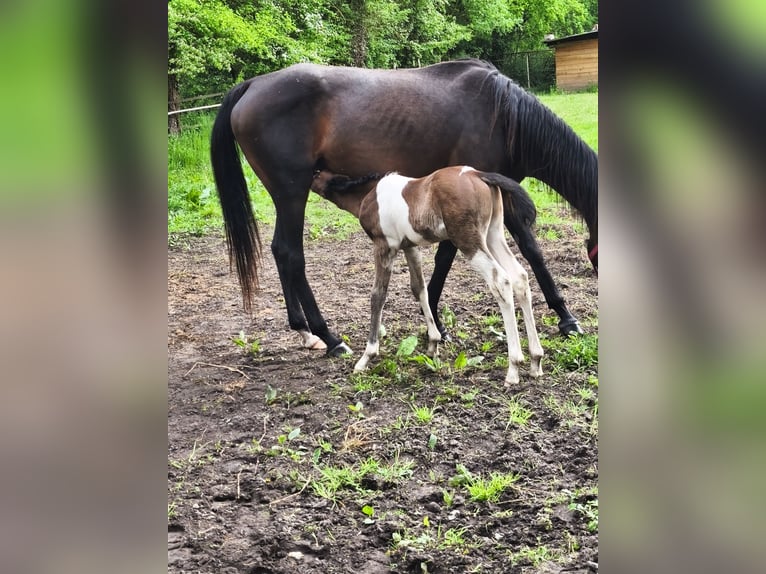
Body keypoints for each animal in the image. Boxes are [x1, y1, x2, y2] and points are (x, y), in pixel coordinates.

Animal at [210, 59, 597, 357]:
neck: (502, 117)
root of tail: (252, 85)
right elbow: (456, 257)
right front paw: (435, 322)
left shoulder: (496, 197)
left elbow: (527, 251)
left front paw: (566, 317)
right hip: (292, 193)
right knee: (291, 254)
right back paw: (329, 338)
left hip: (286, 196)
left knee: (280, 251)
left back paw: (305, 332)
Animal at [311, 166, 543, 384]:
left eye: (315, 174)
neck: (369, 193)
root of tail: (478, 174)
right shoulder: (410, 247)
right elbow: (419, 288)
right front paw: (433, 344)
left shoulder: (384, 246)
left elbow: (378, 296)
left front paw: (366, 357)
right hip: (493, 235)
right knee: (520, 277)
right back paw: (535, 360)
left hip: (469, 241)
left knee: (501, 281)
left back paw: (513, 368)